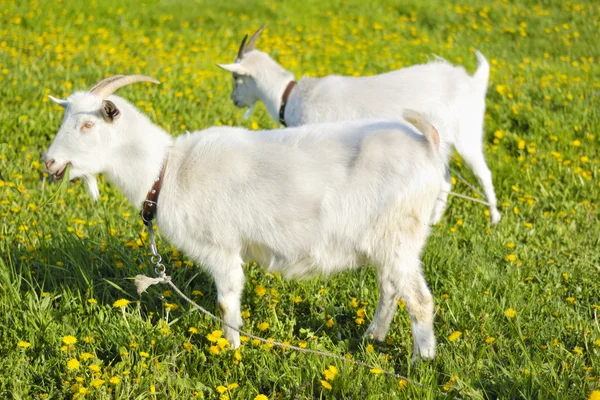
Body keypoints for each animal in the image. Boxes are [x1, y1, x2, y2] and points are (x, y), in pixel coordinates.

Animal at [45, 75, 446, 360]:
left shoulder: (220, 246)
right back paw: (372, 338)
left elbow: (226, 301)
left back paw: (419, 363)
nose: (48, 161)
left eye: (87, 126)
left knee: (419, 300)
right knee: (391, 288)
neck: (168, 170)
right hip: (388, 241)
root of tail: (427, 146)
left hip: (400, 235)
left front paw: (231, 351)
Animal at [218, 25, 500, 225]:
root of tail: (472, 81)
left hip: (467, 133)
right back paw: (433, 220)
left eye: (236, 78)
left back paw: (494, 219)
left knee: (484, 173)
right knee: (446, 179)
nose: (234, 100)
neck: (291, 97)